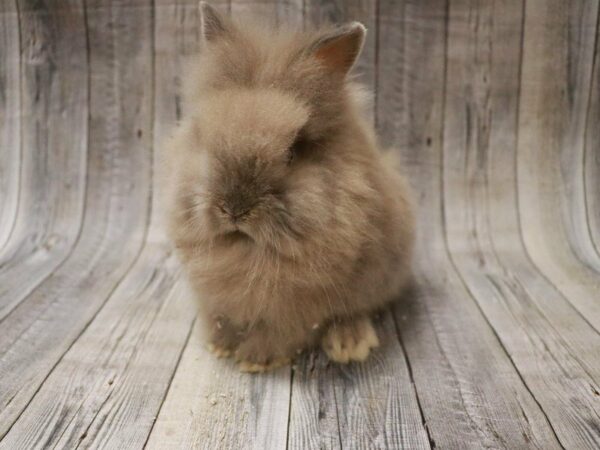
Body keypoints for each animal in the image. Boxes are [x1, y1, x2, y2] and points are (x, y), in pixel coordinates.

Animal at [164, 1, 418, 370]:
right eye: (204, 136)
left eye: (293, 152)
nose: (234, 209)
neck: (247, 249)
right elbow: (220, 318)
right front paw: (219, 346)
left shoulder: (297, 307)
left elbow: (282, 331)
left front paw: (256, 360)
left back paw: (350, 344)